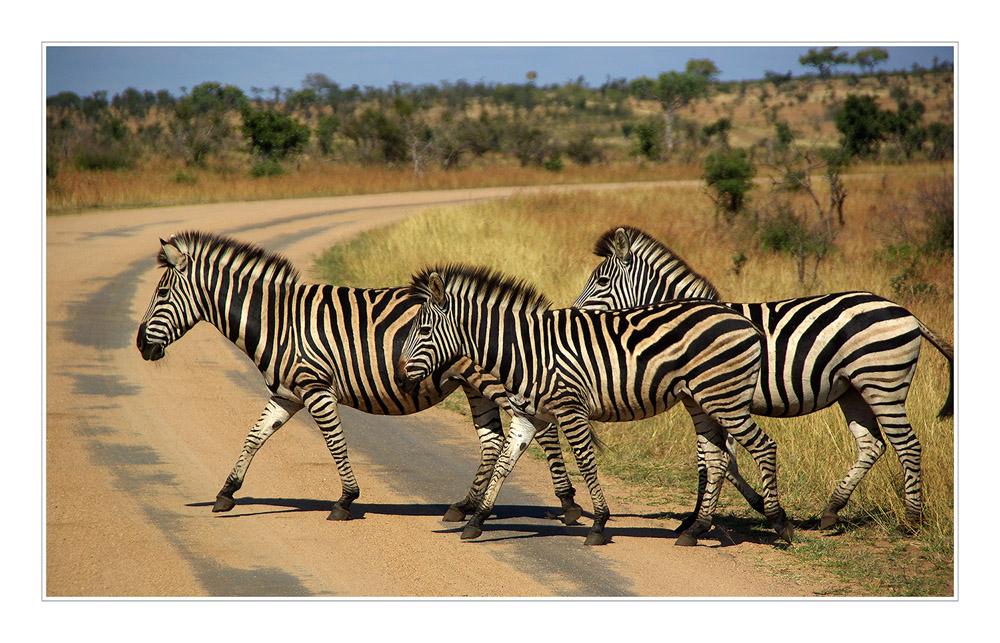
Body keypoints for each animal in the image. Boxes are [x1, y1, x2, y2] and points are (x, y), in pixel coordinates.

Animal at [137, 234, 584, 524]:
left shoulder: (315, 388)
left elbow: (335, 443)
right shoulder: (286, 394)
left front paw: (345, 500)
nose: (140, 345)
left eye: (161, 295)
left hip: (504, 383)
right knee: (492, 441)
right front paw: (226, 493)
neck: (278, 322)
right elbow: (254, 437)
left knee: (542, 432)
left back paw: (568, 505)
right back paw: (465, 506)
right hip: (473, 384)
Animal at [394, 264, 792, 544]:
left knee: (764, 446)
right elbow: (505, 465)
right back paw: (695, 531)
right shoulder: (525, 417)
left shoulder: (571, 410)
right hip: (701, 400)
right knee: (717, 457)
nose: (397, 377)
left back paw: (779, 522)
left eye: (424, 330)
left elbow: (586, 463)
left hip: (725, 398)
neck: (526, 352)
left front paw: (599, 524)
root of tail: (742, 320)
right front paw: (477, 520)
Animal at [572, 225, 952, 528]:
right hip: (853, 389)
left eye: (602, 281)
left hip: (883, 384)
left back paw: (910, 521)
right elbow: (718, 458)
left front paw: (703, 517)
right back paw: (831, 511)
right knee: (872, 445)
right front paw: (731, 509)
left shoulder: (715, 398)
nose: (572, 313)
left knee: (908, 445)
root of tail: (907, 314)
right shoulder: (711, 401)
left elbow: (715, 460)